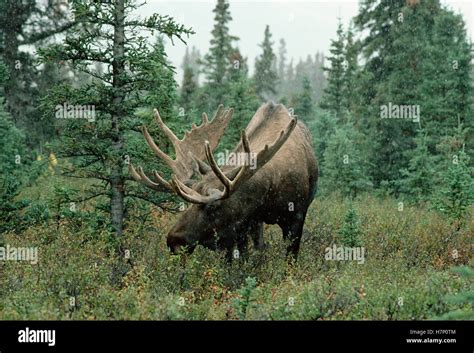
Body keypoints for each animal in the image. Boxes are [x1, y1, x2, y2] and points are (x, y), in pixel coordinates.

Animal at [130, 101, 318, 258]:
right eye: (188, 204)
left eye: (213, 206)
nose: (173, 240)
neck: (268, 193)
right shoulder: (244, 223)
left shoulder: (297, 216)